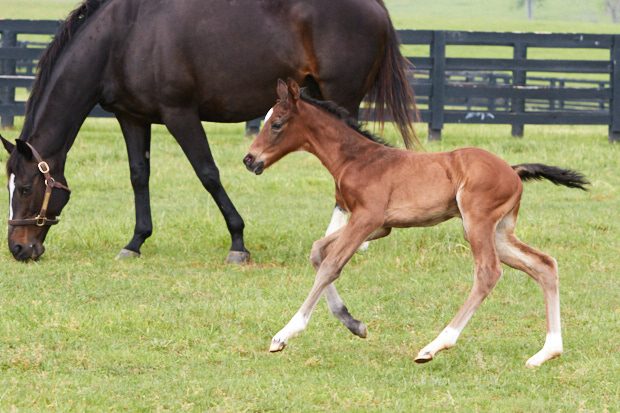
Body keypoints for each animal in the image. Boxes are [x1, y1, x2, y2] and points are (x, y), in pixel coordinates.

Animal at [242, 79, 588, 366]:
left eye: (276, 123)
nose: (249, 159)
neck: (357, 159)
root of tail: (513, 171)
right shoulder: (378, 226)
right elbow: (318, 251)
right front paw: (355, 324)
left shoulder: (367, 218)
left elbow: (330, 266)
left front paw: (284, 335)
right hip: (498, 232)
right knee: (544, 264)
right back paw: (546, 352)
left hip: (477, 223)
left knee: (488, 272)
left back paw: (434, 346)